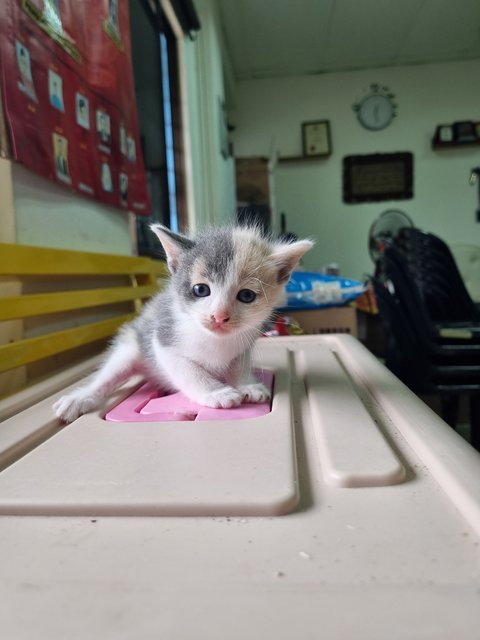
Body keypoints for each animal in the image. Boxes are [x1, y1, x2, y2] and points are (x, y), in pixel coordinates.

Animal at [53, 222, 316, 422]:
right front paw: (217, 392)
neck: (214, 340)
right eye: (200, 290)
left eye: (247, 296)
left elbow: (238, 364)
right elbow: (189, 370)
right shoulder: (163, 340)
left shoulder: (244, 343)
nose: (219, 316)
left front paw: (246, 384)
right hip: (131, 348)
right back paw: (81, 398)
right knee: (108, 375)